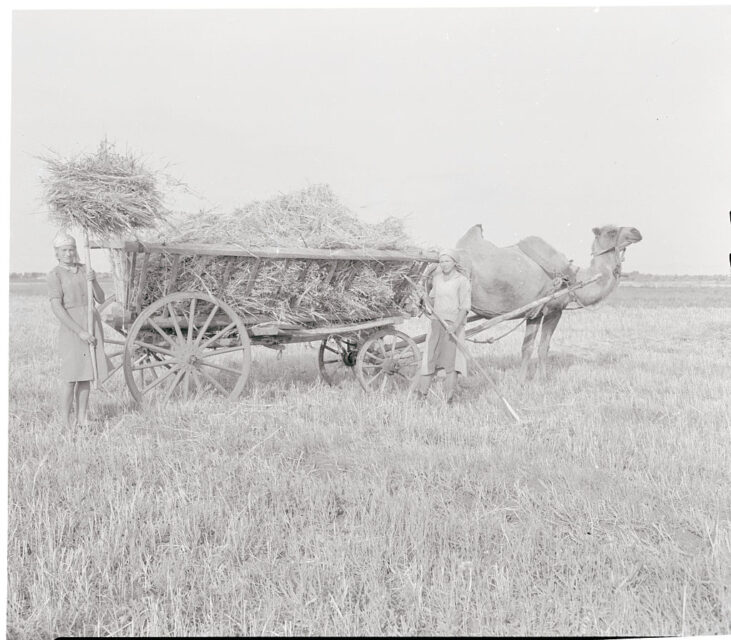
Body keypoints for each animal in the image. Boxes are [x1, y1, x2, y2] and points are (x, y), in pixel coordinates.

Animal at [454, 224, 644, 380]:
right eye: (611, 231)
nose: (636, 231)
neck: (573, 280)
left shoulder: (534, 313)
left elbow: (528, 347)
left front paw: (521, 381)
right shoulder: (554, 310)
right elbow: (544, 347)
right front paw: (542, 380)